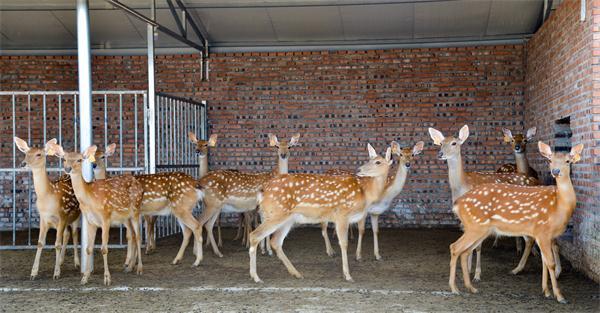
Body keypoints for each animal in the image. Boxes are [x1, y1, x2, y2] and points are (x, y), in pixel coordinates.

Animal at [13, 138, 80, 280]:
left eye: (39, 154)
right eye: (26, 153)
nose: (23, 164)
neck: (48, 197)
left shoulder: (62, 215)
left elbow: (57, 244)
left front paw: (56, 273)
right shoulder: (43, 218)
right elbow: (40, 243)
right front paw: (33, 273)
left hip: (76, 214)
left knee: (74, 233)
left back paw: (77, 263)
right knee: (67, 234)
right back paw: (61, 261)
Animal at [49, 143, 143, 284]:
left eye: (79, 159)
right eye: (64, 159)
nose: (68, 168)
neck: (90, 198)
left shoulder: (106, 217)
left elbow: (104, 249)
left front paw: (107, 279)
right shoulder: (90, 221)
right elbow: (88, 248)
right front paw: (85, 278)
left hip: (136, 211)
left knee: (138, 236)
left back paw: (139, 269)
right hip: (126, 217)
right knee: (132, 235)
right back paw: (131, 266)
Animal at [247, 144, 392, 282]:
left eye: (378, 162)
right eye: (370, 159)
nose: (359, 170)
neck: (365, 193)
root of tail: (262, 191)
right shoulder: (342, 214)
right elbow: (343, 244)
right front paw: (347, 275)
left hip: (287, 218)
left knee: (275, 241)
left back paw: (297, 274)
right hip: (276, 213)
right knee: (254, 235)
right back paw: (256, 277)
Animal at [426, 124, 544, 280]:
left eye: (454, 143)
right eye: (440, 143)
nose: (440, 154)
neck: (464, 185)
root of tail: (535, 180)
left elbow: (477, 246)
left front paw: (476, 274)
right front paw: (468, 270)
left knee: (530, 238)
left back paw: (517, 269)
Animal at [450, 141, 580, 302]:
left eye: (568, 161)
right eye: (550, 160)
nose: (556, 171)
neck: (559, 206)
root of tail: (457, 203)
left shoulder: (545, 235)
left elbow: (545, 262)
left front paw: (546, 291)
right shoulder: (542, 231)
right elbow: (550, 263)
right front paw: (559, 295)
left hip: (479, 229)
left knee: (464, 251)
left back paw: (471, 287)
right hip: (475, 226)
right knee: (455, 247)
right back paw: (455, 288)